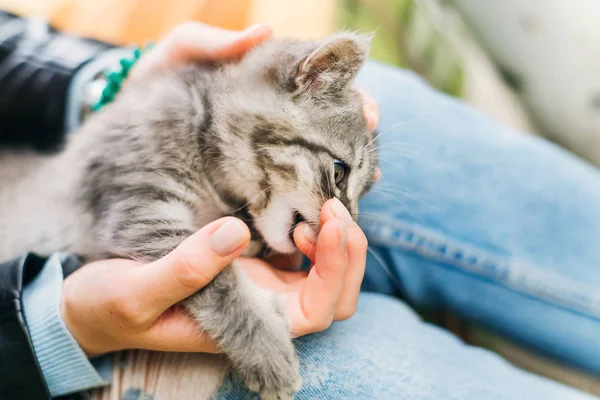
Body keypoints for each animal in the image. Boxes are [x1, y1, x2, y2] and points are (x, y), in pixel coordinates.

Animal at [0, 30, 378, 396]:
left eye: (364, 191)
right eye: (339, 172)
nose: (351, 223)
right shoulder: (141, 211)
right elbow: (221, 283)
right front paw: (265, 348)